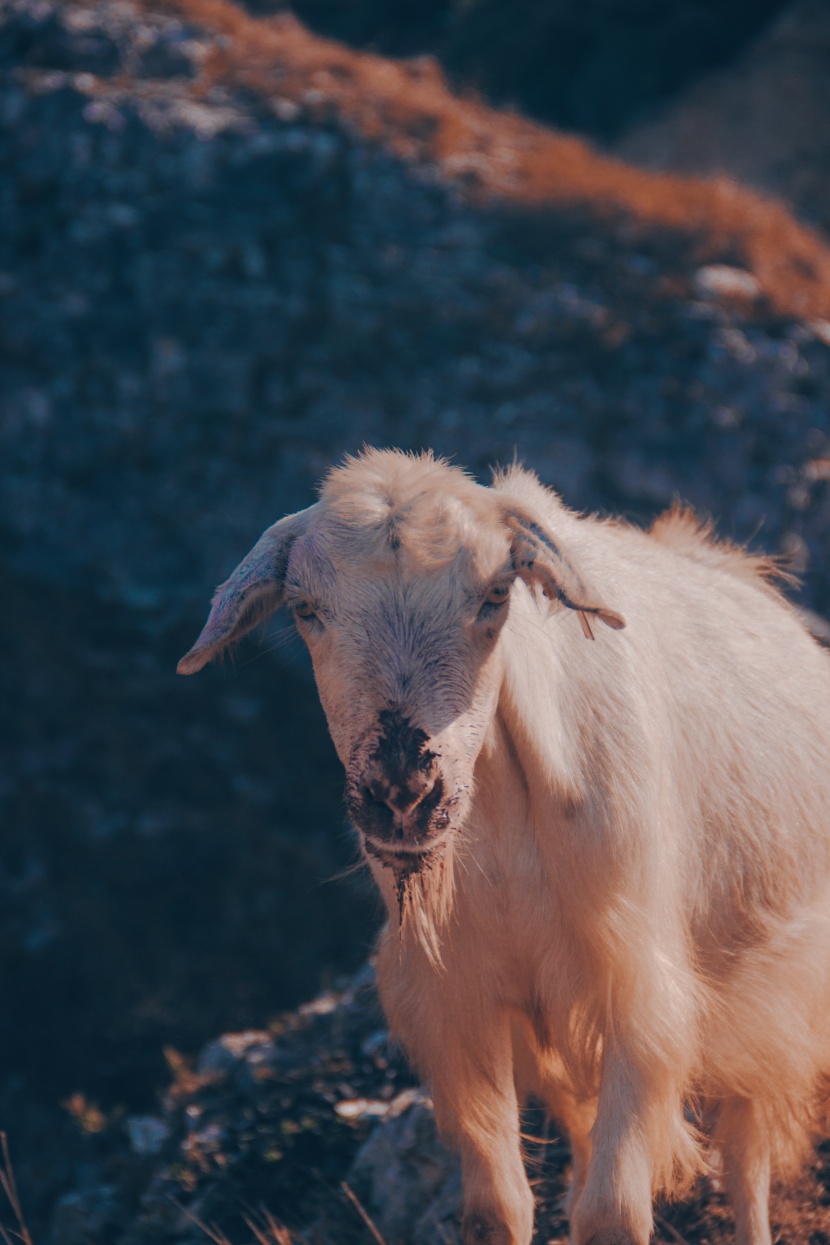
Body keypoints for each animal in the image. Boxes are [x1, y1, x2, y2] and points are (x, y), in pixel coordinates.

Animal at [179, 453, 830, 1245]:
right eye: (305, 608)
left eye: (495, 595)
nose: (404, 797)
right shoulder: (460, 999)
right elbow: (497, 1206)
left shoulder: (638, 991)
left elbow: (614, 1211)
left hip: (776, 998)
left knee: (747, 1159)